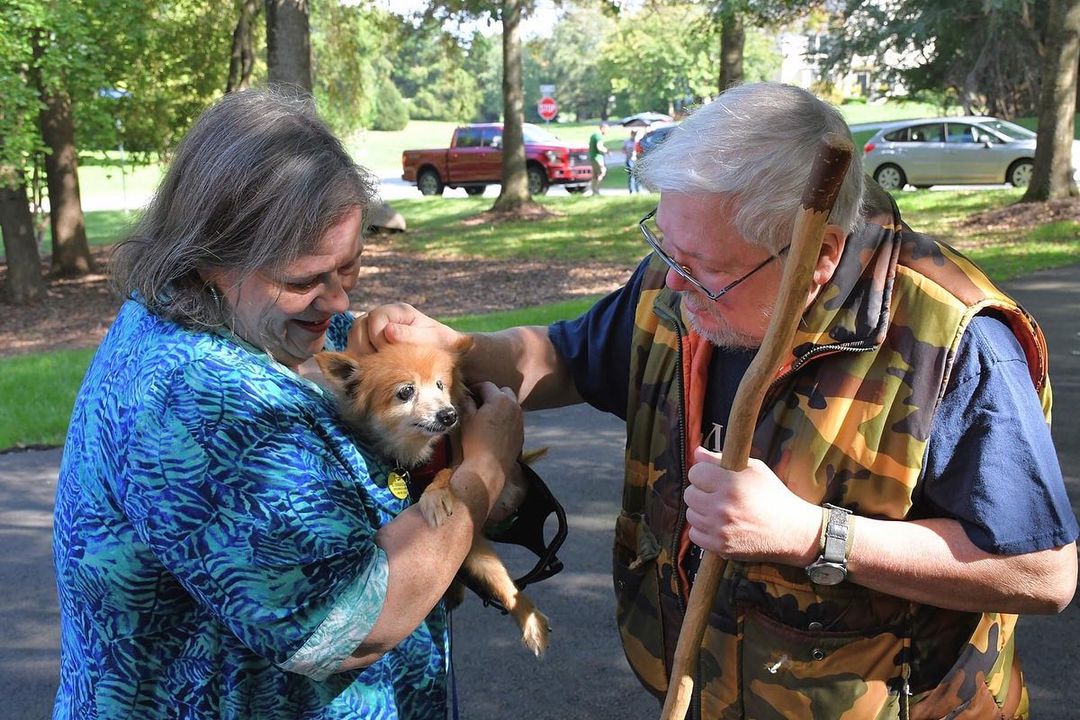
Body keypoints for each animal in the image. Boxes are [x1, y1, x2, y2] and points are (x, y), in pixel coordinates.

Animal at [313, 341, 548, 656]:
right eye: (406, 392)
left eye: (440, 384)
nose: (449, 414)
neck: (420, 451)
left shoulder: (457, 459)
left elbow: (446, 473)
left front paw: (434, 498)